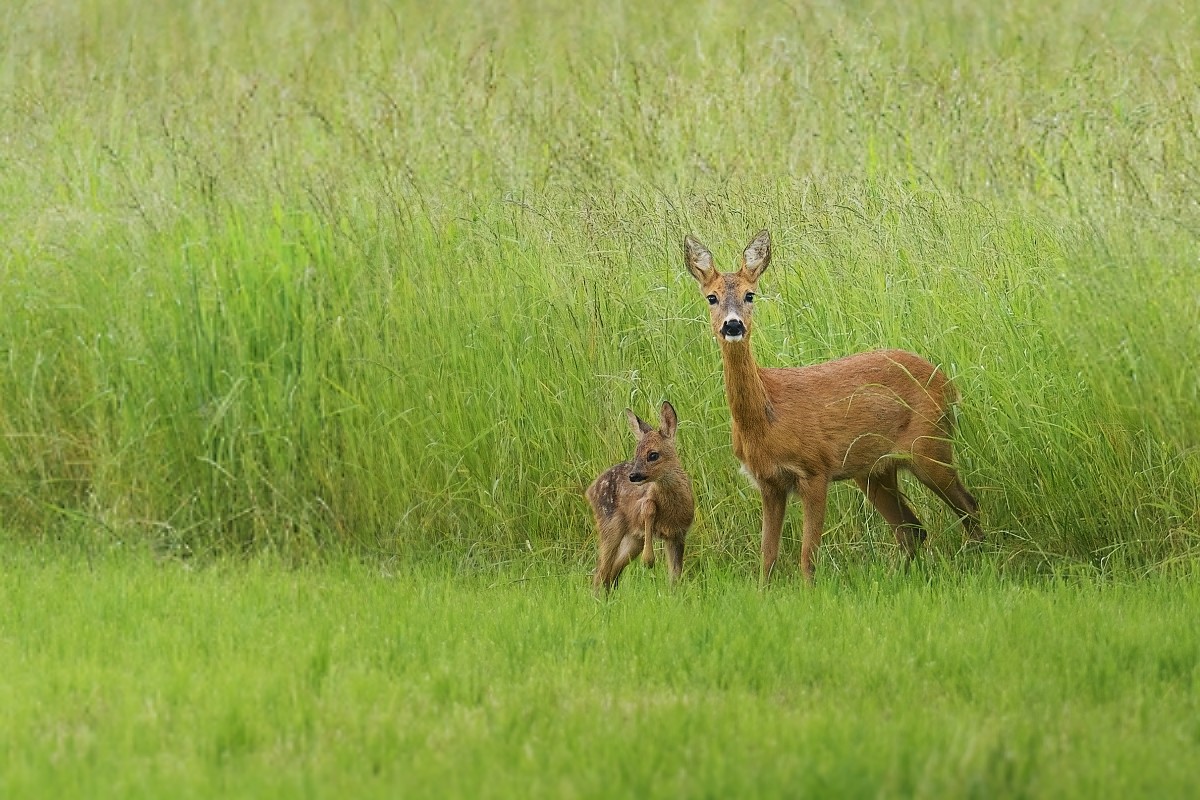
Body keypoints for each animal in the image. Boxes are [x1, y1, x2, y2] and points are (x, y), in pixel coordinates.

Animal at [583, 400, 696, 594]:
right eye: (636, 454)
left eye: (653, 454)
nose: (633, 475)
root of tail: (590, 490)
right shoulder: (644, 504)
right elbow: (648, 506)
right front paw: (648, 560)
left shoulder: (678, 534)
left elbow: (675, 576)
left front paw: (675, 596)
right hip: (610, 525)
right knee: (600, 572)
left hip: (633, 539)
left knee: (611, 571)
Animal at [681, 227, 979, 585]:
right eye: (711, 297)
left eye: (750, 295)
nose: (733, 325)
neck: (767, 418)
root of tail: (949, 385)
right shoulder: (768, 482)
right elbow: (767, 557)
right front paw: (763, 592)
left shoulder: (815, 470)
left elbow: (807, 555)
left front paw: (810, 592)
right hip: (875, 471)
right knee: (912, 529)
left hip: (930, 447)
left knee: (969, 507)